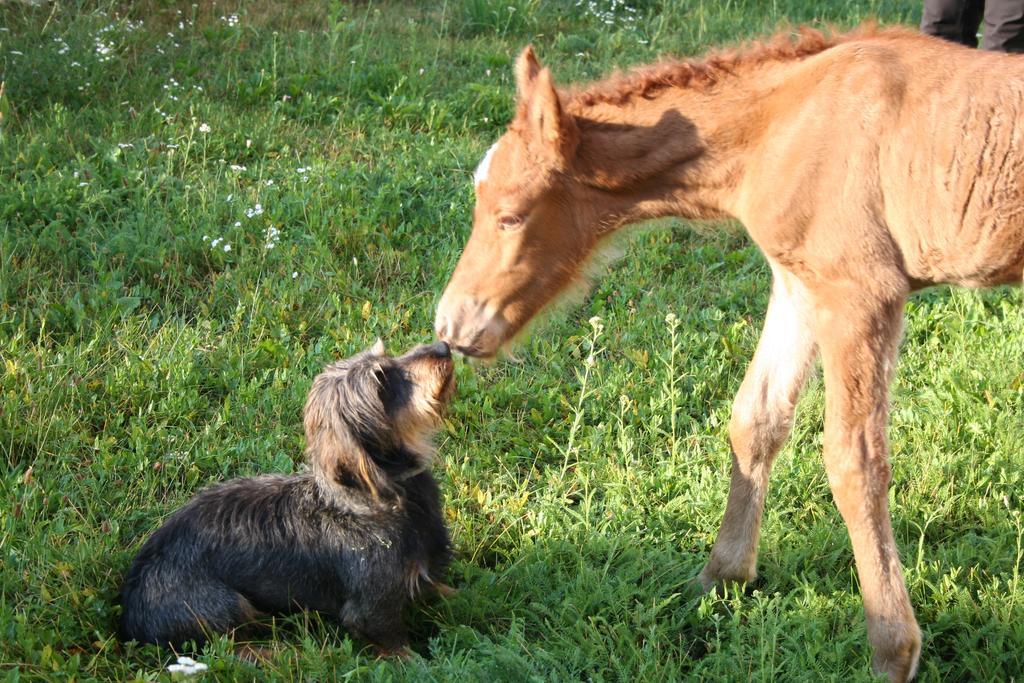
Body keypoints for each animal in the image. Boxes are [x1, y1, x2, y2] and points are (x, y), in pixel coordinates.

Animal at [117, 342, 454, 655]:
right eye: (381, 382)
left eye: (387, 356)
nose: (443, 347)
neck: (366, 502)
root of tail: (130, 618)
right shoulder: (373, 609)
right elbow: (399, 648)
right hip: (226, 605)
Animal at [432, 24, 1024, 679]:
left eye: (510, 217)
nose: (451, 325)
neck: (780, 127)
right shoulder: (797, 281)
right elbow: (755, 421)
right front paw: (721, 576)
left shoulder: (859, 291)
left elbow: (855, 461)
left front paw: (892, 648)